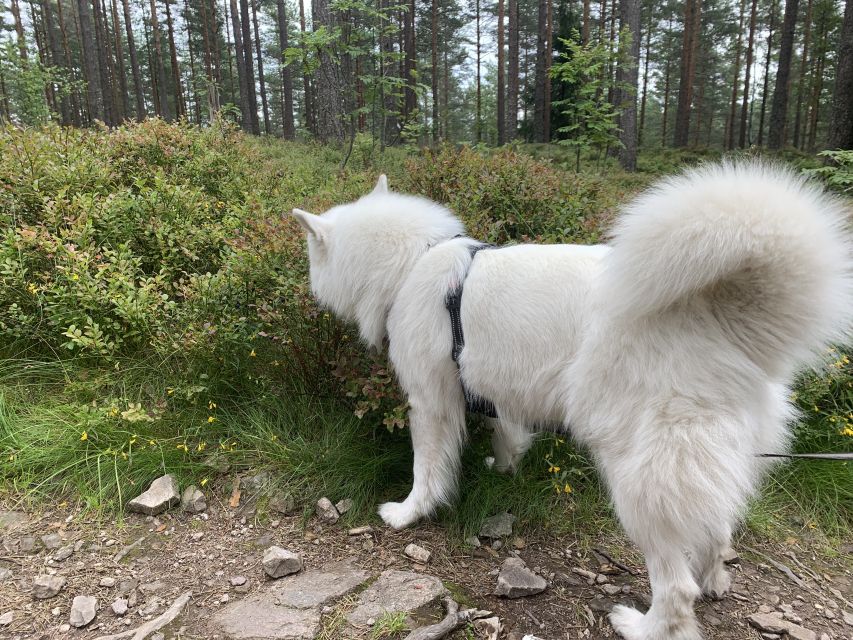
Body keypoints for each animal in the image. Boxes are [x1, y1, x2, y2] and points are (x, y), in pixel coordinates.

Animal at [294, 166, 852, 640]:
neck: (414, 262)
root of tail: (723, 318)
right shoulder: (502, 394)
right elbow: (507, 436)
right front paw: (504, 468)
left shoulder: (430, 403)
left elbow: (426, 470)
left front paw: (408, 513)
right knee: (717, 533)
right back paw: (715, 580)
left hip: (640, 481)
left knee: (676, 588)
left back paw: (641, 625)